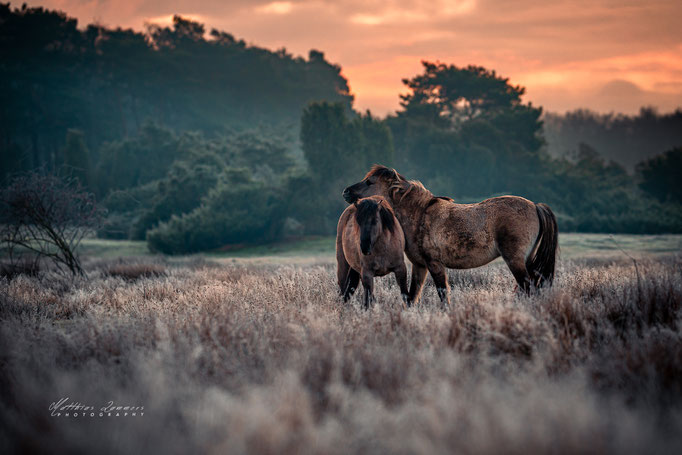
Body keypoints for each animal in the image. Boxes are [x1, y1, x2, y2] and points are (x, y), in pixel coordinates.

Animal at [340, 166, 556, 308]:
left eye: (370, 182)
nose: (345, 192)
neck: (420, 215)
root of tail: (535, 206)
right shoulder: (420, 266)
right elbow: (413, 295)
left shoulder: (434, 264)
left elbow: (442, 293)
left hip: (515, 261)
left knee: (528, 288)